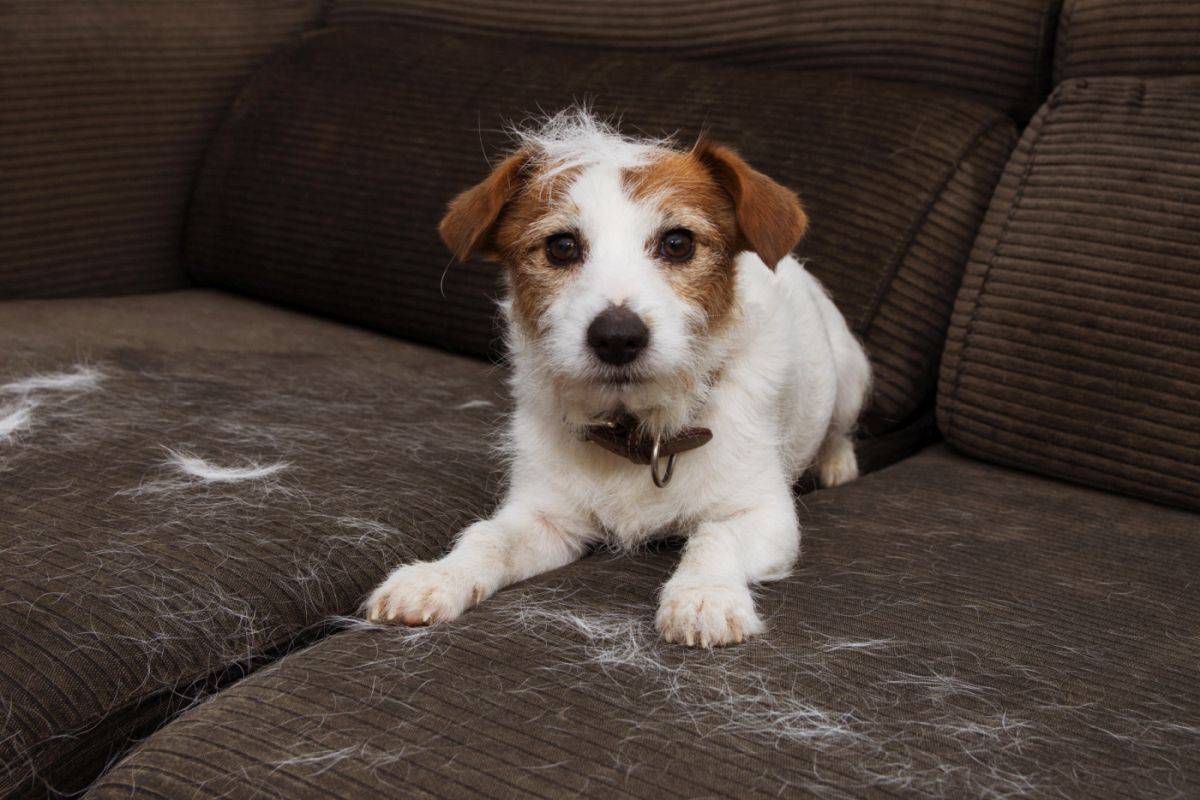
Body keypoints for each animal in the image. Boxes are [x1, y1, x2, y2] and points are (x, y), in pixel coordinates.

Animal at [364, 109, 873, 647]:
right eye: (562, 246)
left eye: (678, 243)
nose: (616, 337)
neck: (638, 431)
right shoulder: (545, 518)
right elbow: (488, 537)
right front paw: (437, 577)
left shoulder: (763, 516)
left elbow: (716, 536)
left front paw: (703, 596)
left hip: (850, 374)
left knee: (840, 428)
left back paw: (837, 464)